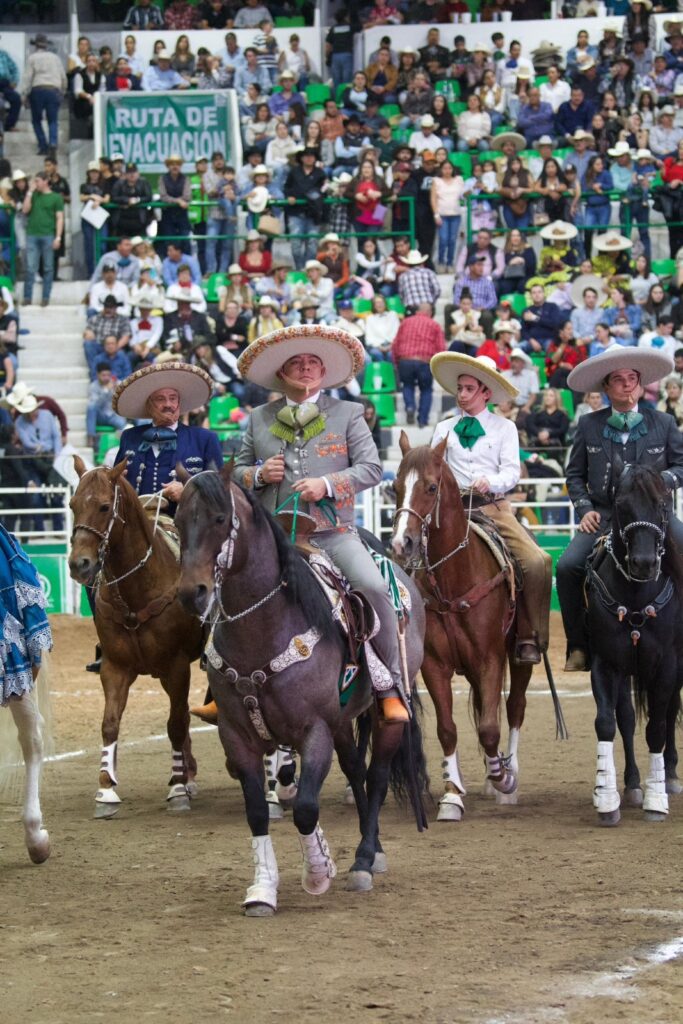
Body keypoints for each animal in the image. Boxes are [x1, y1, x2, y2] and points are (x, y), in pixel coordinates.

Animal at [68, 456, 204, 815]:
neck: (137, 591)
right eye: (72, 504)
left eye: (104, 506)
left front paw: (177, 788)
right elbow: (110, 723)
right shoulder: (115, 667)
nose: (78, 564)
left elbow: (174, 724)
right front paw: (105, 789)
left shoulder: (177, 666)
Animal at [175, 468, 428, 917]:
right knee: (356, 771)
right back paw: (373, 849)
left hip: (385, 718)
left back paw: (364, 859)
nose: (193, 593)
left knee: (377, 776)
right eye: (175, 521)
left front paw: (318, 872)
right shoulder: (236, 737)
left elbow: (308, 809)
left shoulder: (315, 731)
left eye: (220, 519)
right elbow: (257, 812)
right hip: (343, 724)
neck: (264, 628)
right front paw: (262, 889)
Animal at [389, 436, 532, 819]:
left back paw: (508, 778)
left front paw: (503, 776)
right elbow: (448, 729)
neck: (454, 582)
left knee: (514, 707)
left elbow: (489, 728)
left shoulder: (491, 660)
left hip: (521, 656)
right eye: (395, 487)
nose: (401, 543)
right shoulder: (434, 666)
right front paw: (452, 795)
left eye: (431, 487)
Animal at [589, 464, 683, 823]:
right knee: (627, 719)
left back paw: (669, 776)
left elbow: (657, 726)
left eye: (662, 505)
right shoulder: (606, 663)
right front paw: (606, 799)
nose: (644, 563)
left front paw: (656, 801)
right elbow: (607, 723)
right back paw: (631, 784)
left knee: (669, 713)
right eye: (621, 506)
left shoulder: (667, 665)